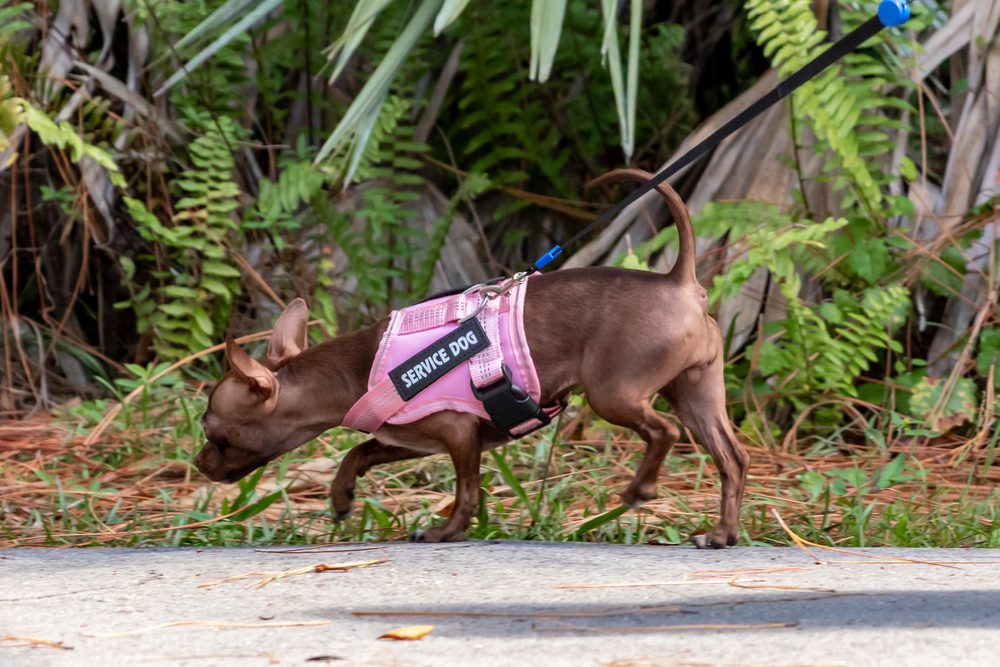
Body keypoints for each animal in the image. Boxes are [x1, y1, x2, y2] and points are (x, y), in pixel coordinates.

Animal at [195, 171, 748, 548]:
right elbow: (360, 452)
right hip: (696, 396)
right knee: (732, 458)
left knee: (663, 433)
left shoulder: (459, 434)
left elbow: (466, 492)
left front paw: (446, 532)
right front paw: (342, 494)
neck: (357, 371)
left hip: (615, 395)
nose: (199, 464)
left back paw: (641, 490)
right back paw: (721, 533)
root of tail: (679, 280)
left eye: (217, 436)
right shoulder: (411, 438)